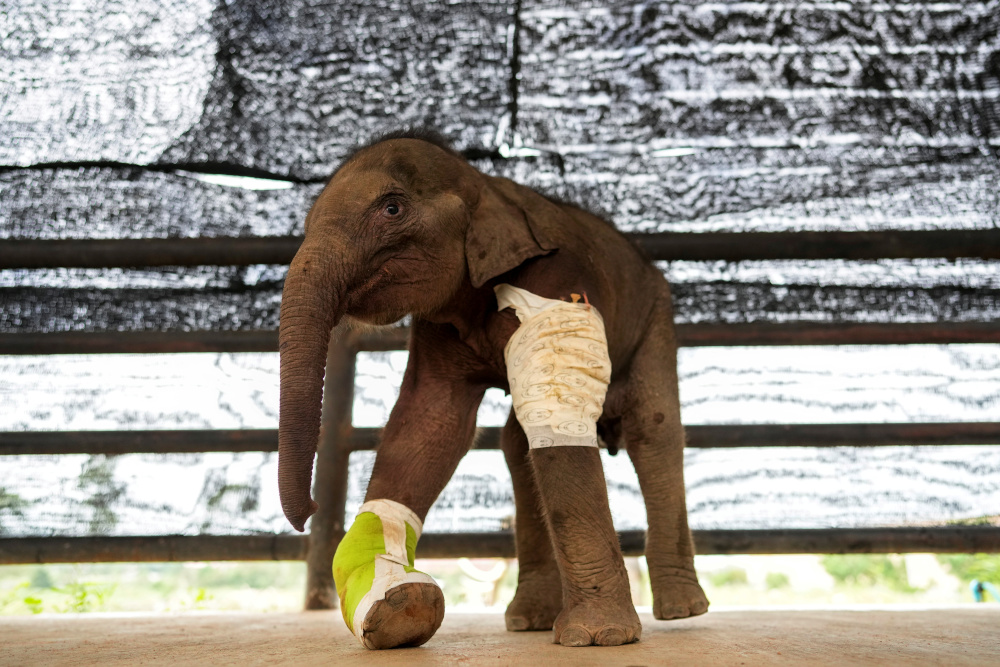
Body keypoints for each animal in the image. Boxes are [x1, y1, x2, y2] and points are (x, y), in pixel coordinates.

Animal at [277, 130, 708, 649]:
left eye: (392, 209)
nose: (310, 511)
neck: (485, 185)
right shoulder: (436, 324)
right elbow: (430, 422)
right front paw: (394, 606)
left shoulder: (557, 284)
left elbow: (556, 410)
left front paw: (599, 636)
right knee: (517, 444)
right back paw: (528, 619)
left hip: (655, 318)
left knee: (654, 429)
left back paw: (682, 610)